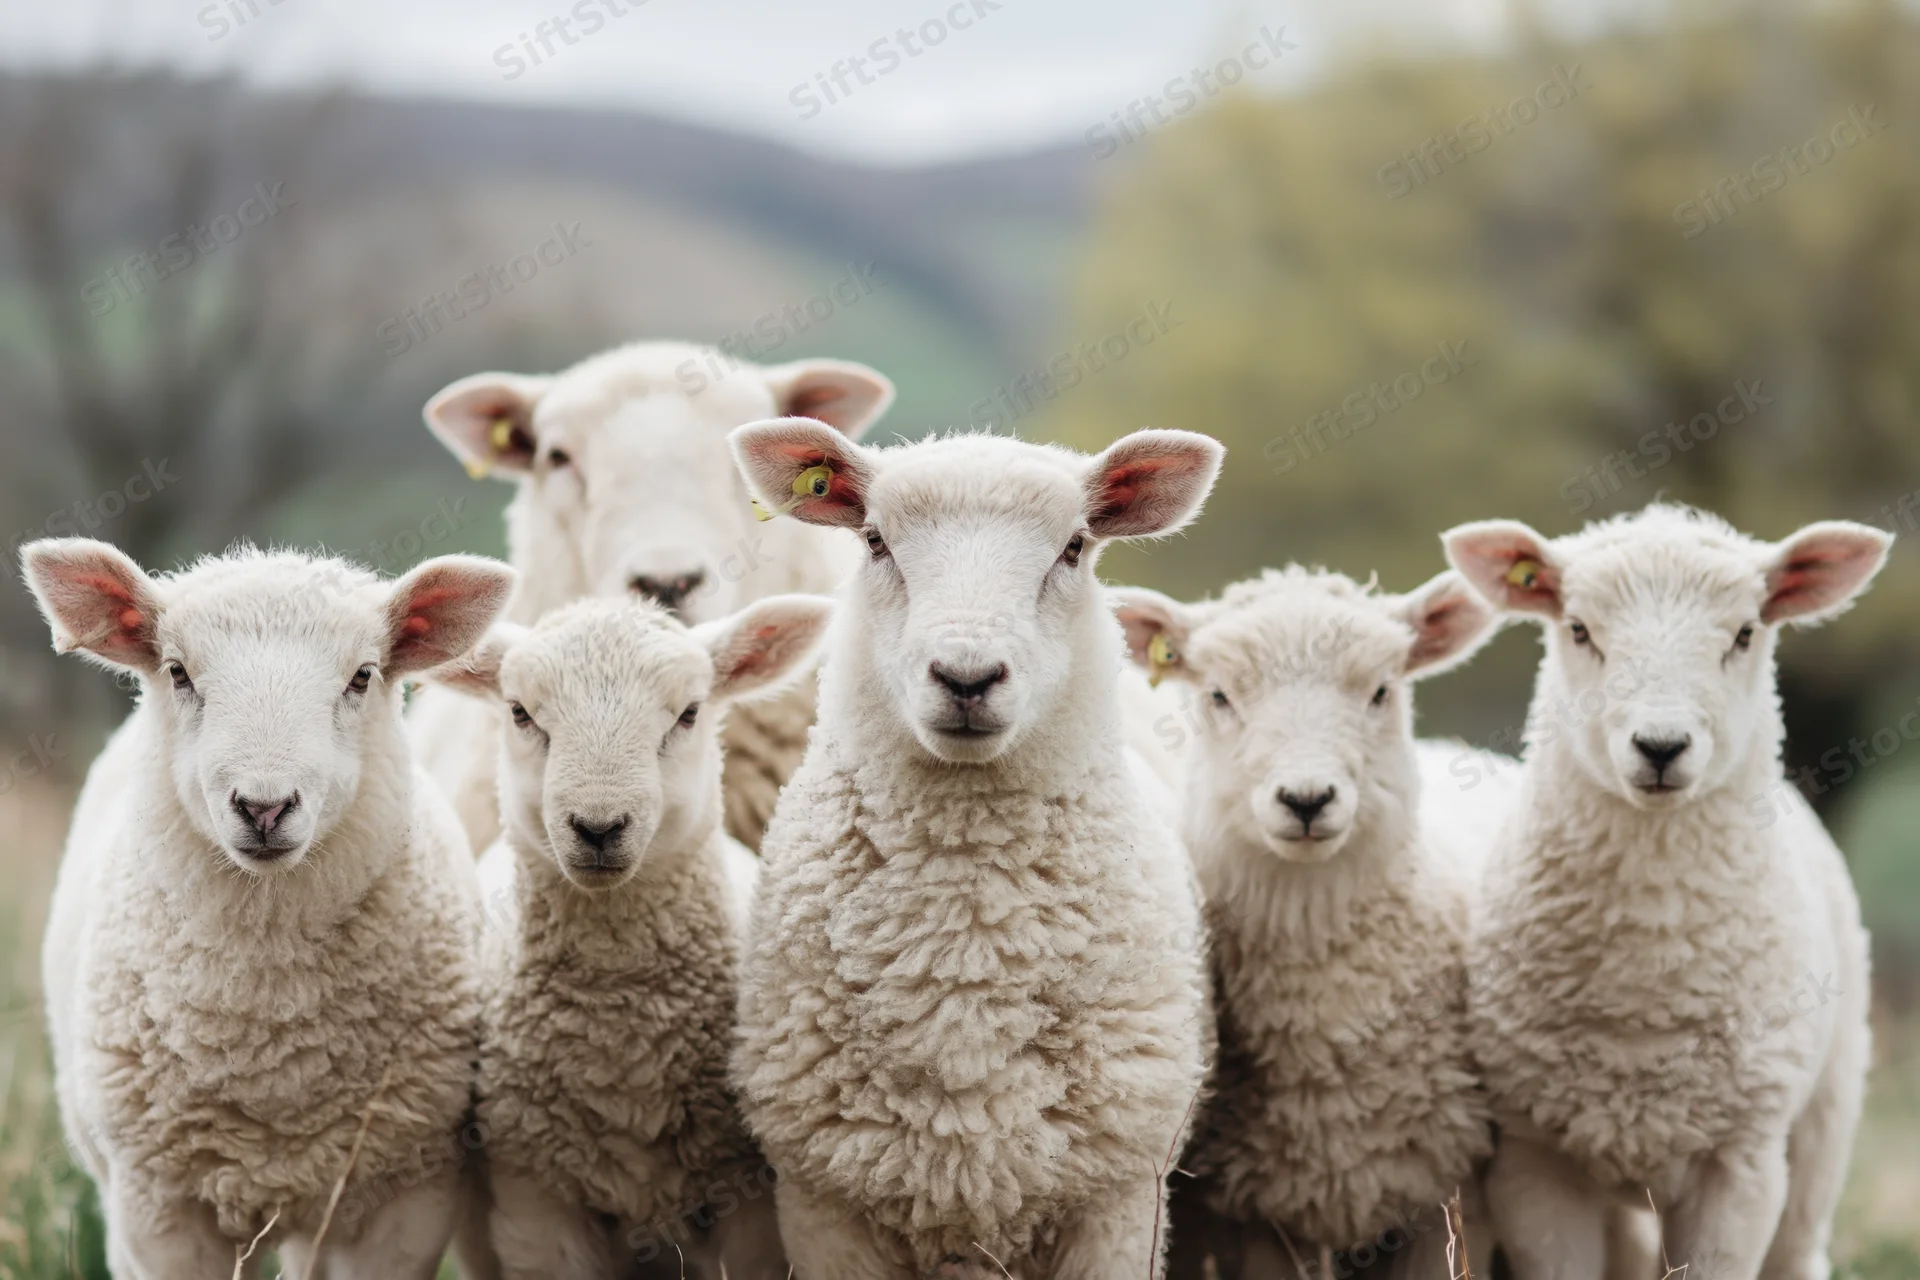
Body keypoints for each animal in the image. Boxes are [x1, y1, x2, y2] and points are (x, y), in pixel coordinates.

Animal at [726, 418, 1222, 1280]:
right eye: (876, 541)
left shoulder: (1120, 1197)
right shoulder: (826, 1205)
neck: (966, 942)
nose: (966, 676)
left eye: (1073, 548)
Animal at [1441, 503, 1890, 1280]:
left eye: (1744, 633)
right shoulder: (1535, 1158)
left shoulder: (1741, 1161)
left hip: (1823, 1124)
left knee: (1800, 1249)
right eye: (1579, 629)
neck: (1647, 980)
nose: (1660, 746)